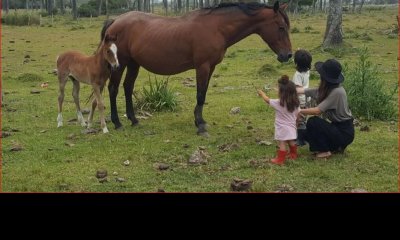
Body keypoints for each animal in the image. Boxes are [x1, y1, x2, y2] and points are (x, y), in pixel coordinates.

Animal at [101, 0, 292, 135]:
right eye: (281, 27)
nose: (288, 55)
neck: (216, 28)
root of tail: (115, 20)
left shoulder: (211, 67)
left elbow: (204, 93)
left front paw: (200, 121)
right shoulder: (203, 66)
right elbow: (200, 94)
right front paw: (200, 126)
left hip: (134, 63)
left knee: (127, 87)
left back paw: (134, 120)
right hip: (121, 63)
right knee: (113, 89)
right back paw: (117, 122)